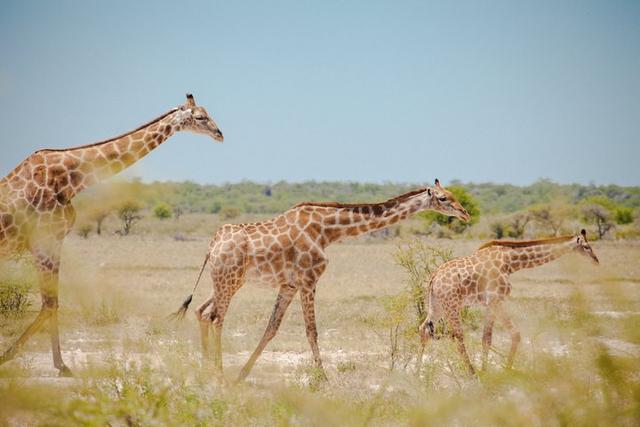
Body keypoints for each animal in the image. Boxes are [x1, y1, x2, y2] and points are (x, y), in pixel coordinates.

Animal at [0, 93, 225, 374]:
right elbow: (50, 303)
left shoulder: (54, 240)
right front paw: (15, 357)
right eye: (200, 117)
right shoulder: (44, 239)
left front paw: (60, 364)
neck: (71, 179)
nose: (220, 134)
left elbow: (52, 303)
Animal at [174, 179, 470, 382]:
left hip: (225, 281)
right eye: (443, 198)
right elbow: (311, 331)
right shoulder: (308, 280)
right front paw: (323, 379)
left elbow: (271, 328)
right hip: (230, 280)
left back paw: (208, 371)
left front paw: (242, 375)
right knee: (215, 318)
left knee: (201, 311)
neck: (329, 231)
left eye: (454, 195)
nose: (465, 213)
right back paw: (218, 373)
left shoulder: (289, 284)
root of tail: (212, 245)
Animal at [420, 231, 600, 374]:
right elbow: (515, 334)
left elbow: (486, 338)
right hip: (452, 305)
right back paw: (471, 373)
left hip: (437, 305)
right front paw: (506, 370)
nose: (596, 261)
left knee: (424, 329)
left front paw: (486, 371)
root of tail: (433, 278)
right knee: (458, 336)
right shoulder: (496, 300)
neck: (510, 262)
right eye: (586, 247)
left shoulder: (490, 304)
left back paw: (416, 373)